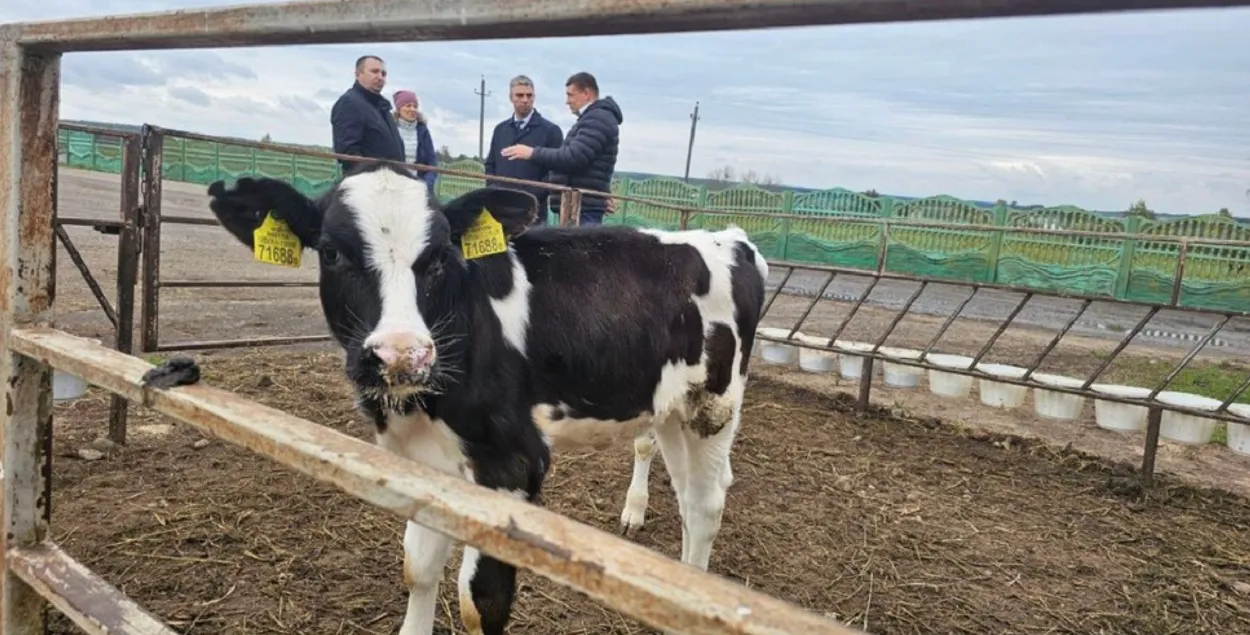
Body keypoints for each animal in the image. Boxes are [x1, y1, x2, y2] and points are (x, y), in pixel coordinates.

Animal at [207, 163, 760, 635]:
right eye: (331, 252)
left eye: (438, 258)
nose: (403, 355)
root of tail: (729, 236)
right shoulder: (423, 464)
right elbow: (417, 567)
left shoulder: (513, 463)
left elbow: (481, 603)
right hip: (668, 409)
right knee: (686, 491)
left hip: (713, 404)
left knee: (706, 504)